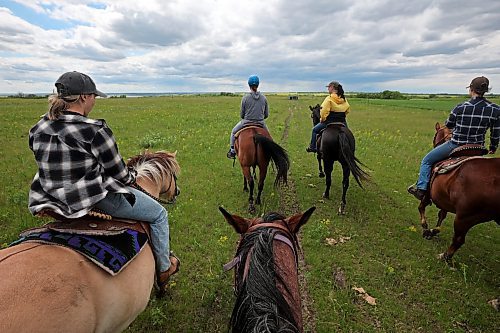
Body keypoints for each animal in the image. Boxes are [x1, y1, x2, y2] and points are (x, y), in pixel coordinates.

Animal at [418, 121, 500, 260]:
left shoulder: (428, 193)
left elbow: (422, 207)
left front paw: (425, 228)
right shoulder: (443, 198)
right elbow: (441, 215)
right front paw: (432, 231)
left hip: (464, 217)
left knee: (459, 239)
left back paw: (444, 256)